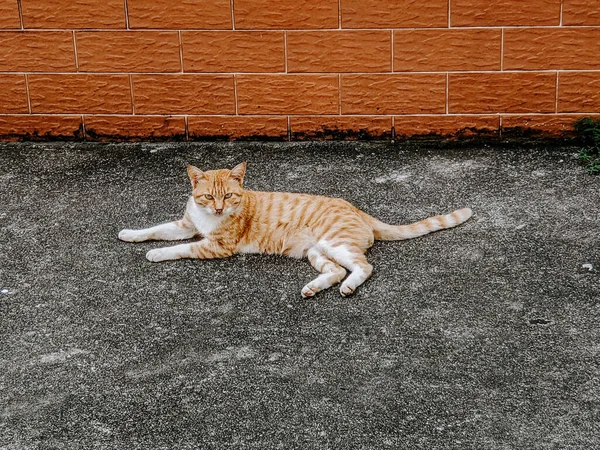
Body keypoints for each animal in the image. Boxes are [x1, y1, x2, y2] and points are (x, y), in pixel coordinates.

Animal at [118, 163, 474, 298]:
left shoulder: (215, 246)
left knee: (364, 267)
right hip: (318, 252)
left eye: (229, 196)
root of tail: (358, 209)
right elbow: (155, 228)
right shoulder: (186, 225)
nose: (218, 209)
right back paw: (313, 288)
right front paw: (130, 234)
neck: (208, 219)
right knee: (334, 271)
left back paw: (348, 287)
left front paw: (156, 253)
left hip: (336, 243)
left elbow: (178, 248)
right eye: (208, 197)